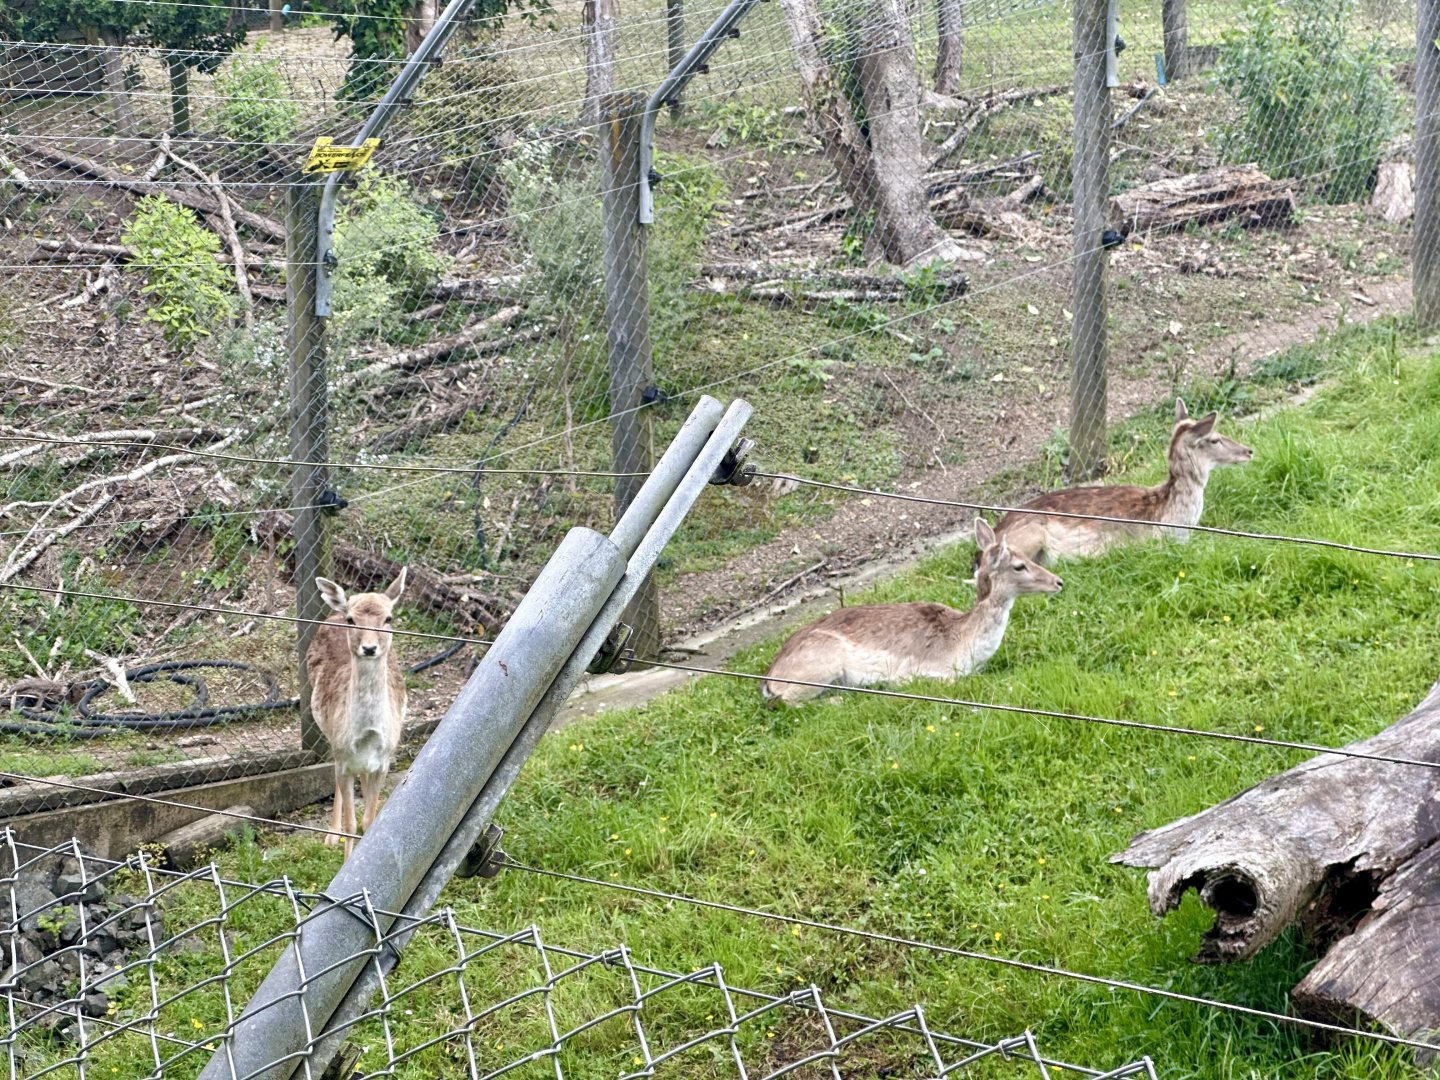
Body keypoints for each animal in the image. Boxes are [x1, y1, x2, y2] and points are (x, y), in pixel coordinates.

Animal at [306, 569, 407, 859]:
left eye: (388, 618)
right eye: (352, 620)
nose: (370, 648)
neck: (368, 735)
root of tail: (334, 611)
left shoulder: (384, 761)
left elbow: (368, 821)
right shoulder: (344, 759)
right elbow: (352, 823)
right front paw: (347, 861)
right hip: (328, 733)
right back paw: (331, 835)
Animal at [762, 518, 1062, 705]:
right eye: (1019, 565)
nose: (1059, 581)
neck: (964, 646)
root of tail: (768, 679)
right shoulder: (921, 673)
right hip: (823, 664)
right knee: (786, 701)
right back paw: (838, 699)